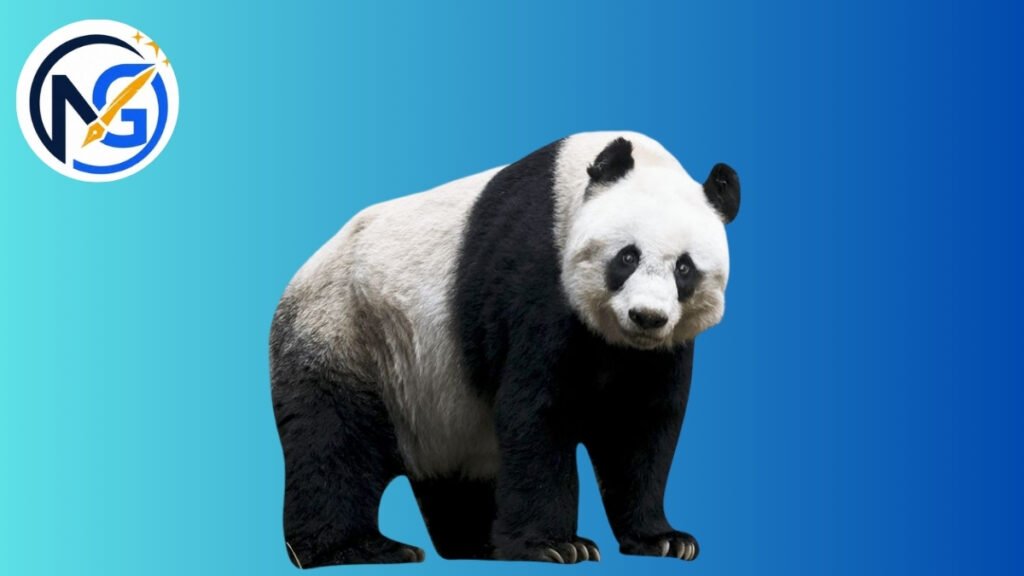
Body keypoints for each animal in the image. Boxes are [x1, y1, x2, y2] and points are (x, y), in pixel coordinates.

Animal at [270, 131, 740, 568]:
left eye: (684, 268)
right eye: (627, 257)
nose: (647, 316)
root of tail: (299, 275)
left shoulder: (657, 351)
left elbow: (638, 426)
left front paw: (665, 539)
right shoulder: (534, 275)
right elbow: (537, 412)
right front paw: (558, 546)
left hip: (439, 401)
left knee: (458, 476)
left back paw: (479, 543)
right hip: (349, 333)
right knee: (335, 444)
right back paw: (360, 548)